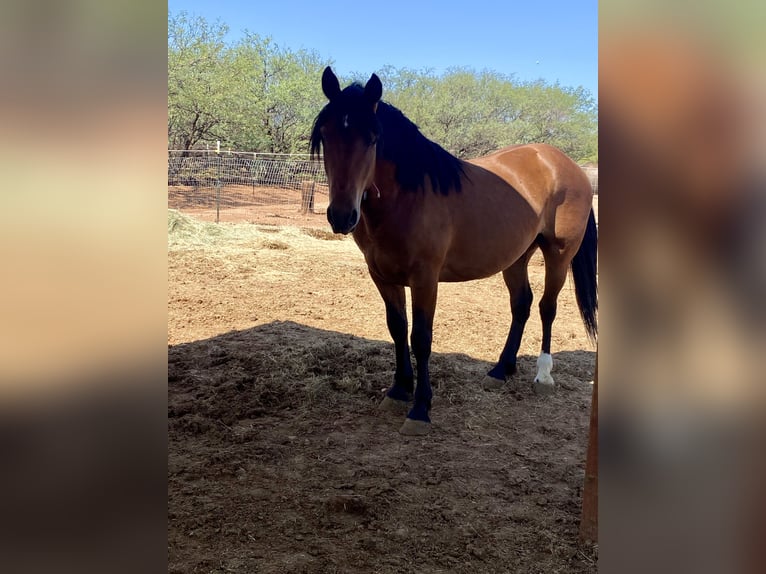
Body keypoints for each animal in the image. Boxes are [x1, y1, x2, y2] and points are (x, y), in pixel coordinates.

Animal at [312, 67, 600, 436]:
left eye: (373, 138)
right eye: (326, 134)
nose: (341, 215)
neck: (407, 197)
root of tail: (566, 164)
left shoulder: (425, 278)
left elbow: (421, 337)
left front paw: (420, 408)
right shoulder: (382, 276)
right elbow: (397, 328)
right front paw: (399, 390)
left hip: (559, 253)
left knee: (547, 308)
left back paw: (543, 376)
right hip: (516, 256)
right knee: (521, 305)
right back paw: (500, 371)